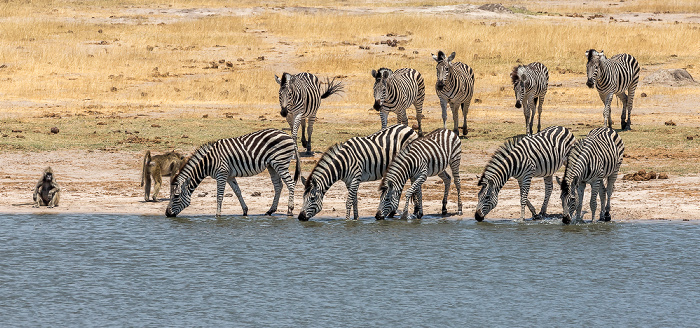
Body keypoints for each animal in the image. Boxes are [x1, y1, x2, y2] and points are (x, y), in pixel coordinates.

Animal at [167, 129, 304, 218]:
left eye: (176, 196)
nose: (167, 214)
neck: (209, 162)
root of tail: (289, 137)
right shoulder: (229, 176)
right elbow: (238, 192)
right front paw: (245, 211)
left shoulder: (221, 174)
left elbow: (219, 195)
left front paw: (217, 215)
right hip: (272, 165)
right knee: (278, 186)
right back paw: (270, 210)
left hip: (280, 163)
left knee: (291, 184)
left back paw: (290, 210)